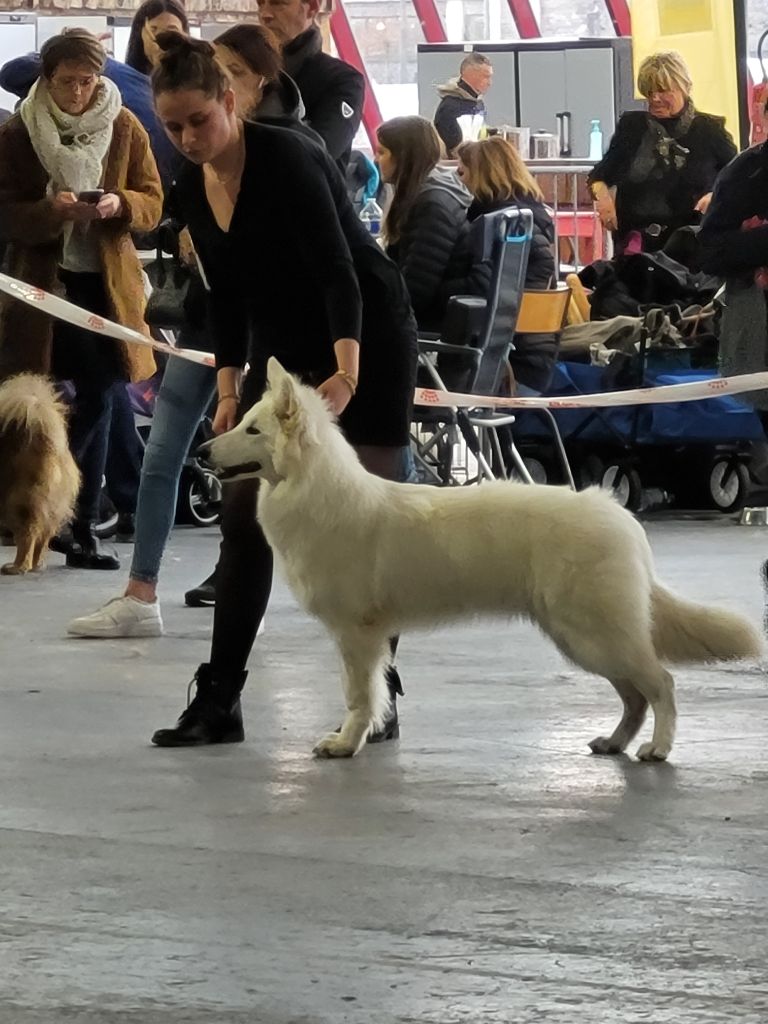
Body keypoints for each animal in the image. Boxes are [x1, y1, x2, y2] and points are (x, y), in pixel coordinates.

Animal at [204, 360, 765, 761]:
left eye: (252, 431)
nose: (204, 451)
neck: (316, 492)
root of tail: (621, 518)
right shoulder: (366, 637)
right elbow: (373, 694)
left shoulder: (357, 635)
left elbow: (359, 696)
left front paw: (346, 743)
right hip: (583, 638)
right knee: (635, 695)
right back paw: (614, 743)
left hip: (594, 633)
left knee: (660, 684)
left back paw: (657, 749)